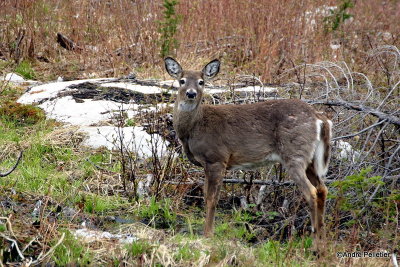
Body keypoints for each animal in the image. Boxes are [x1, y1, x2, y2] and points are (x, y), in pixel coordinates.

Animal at [164, 57, 332, 246]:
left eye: (201, 82)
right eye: (182, 80)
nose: (191, 94)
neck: (194, 128)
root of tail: (319, 118)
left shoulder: (217, 158)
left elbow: (212, 199)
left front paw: (208, 234)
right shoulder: (208, 163)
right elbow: (207, 196)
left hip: (295, 153)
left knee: (311, 192)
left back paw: (314, 244)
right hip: (310, 160)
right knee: (322, 190)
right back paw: (322, 242)